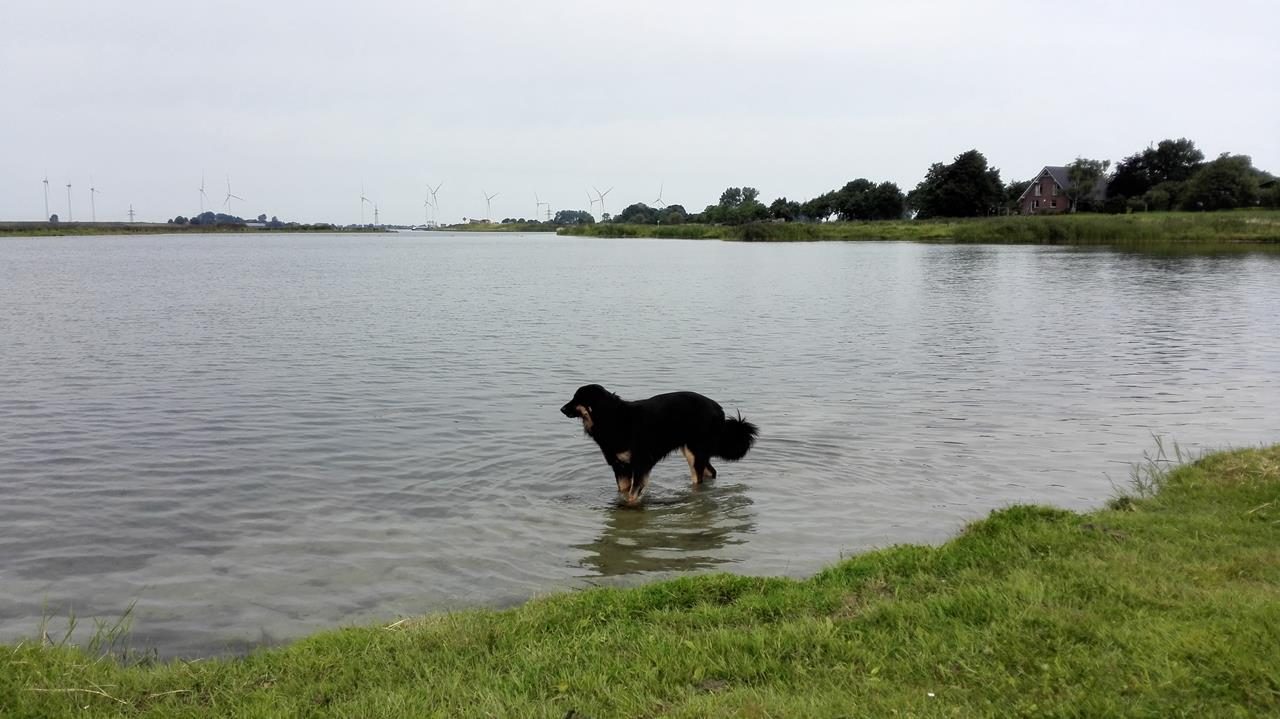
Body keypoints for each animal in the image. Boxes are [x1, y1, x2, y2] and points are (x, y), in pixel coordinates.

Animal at [560, 383, 757, 501]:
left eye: (577, 399)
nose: (561, 409)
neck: (611, 418)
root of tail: (719, 409)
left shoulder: (641, 463)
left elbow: (632, 495)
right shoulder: (620, 466)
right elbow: (623, 492)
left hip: (695, 452)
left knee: (699, 478)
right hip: (691, 450)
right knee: (711, 472)